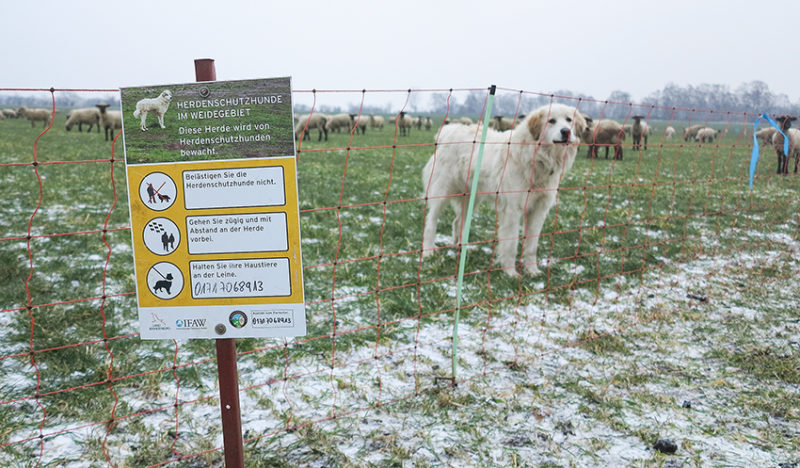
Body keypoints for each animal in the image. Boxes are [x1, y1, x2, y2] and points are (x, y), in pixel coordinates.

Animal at [418, 104, 588, 276]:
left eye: (569, 120)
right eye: (551, 121)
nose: (566, 131)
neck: (538, 158)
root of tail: (449, 130)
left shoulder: (539, 210)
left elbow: (532, 245)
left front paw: (532, 270)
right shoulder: (512, 210)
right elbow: (511, 244)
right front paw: (510, 272)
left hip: (471, 197)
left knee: (458, 221)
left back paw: (463, 247)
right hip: (442, 192)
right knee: (431, 221)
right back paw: (428, 251)